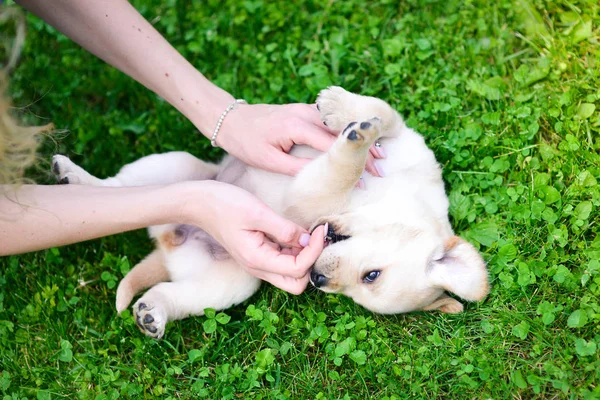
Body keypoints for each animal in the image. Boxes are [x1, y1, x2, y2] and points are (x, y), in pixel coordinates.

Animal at [54, 86, 490, 338]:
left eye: (364, 284)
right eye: (372, 275)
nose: (315, 279)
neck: (392, 195)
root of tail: (165, 245)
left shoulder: (309, 200)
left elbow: (338, 172)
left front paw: (350, 137)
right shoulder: (402, 138)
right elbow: (382, 112)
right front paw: (342, 110)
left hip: (230, 281)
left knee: (172, 288)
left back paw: (153, 314)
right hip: (176, 166)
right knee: (119, 189)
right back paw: (71, 175)